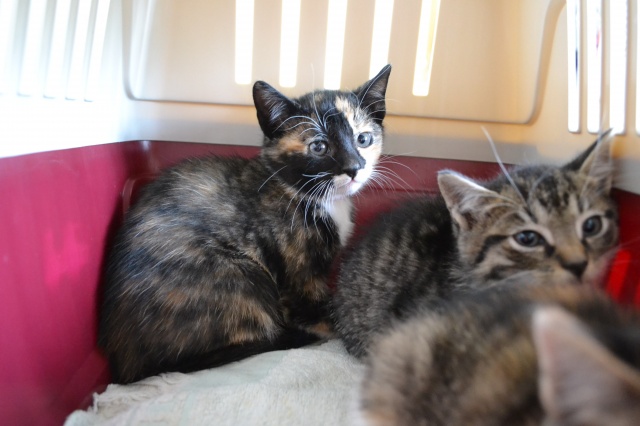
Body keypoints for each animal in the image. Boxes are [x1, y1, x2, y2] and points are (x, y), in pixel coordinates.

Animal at [98, 65, 392, 384]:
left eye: (363, 139)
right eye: (319, 146)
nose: (354, 167)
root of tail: (125, 363)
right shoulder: (299, 278)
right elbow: (315, 311)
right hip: (242, 275)